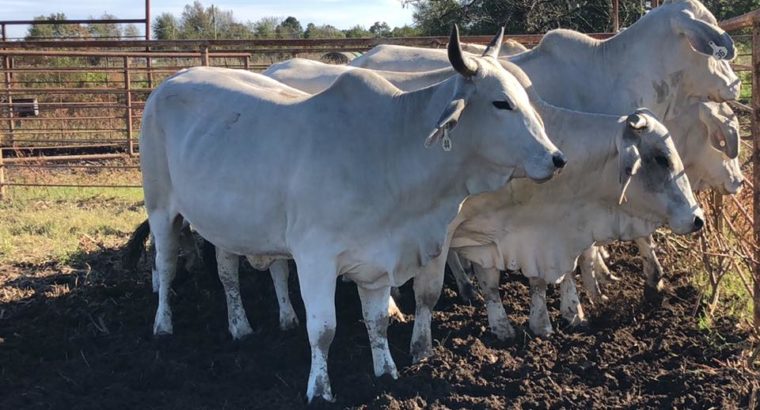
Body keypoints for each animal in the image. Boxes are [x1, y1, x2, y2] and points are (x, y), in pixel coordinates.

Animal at [139, 27, 563, 402]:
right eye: (501, 103)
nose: (556, 158)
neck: (388, 148)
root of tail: (170, 81)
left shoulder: (378, 258)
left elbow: (376, 322)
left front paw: (386, 371)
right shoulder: (315, 257)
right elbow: (323, 329)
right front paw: (320, 388)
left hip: (225, 224)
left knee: (228, 274)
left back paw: (241, 326)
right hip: (161, 208)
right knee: (165, 264)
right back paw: (162, 324)